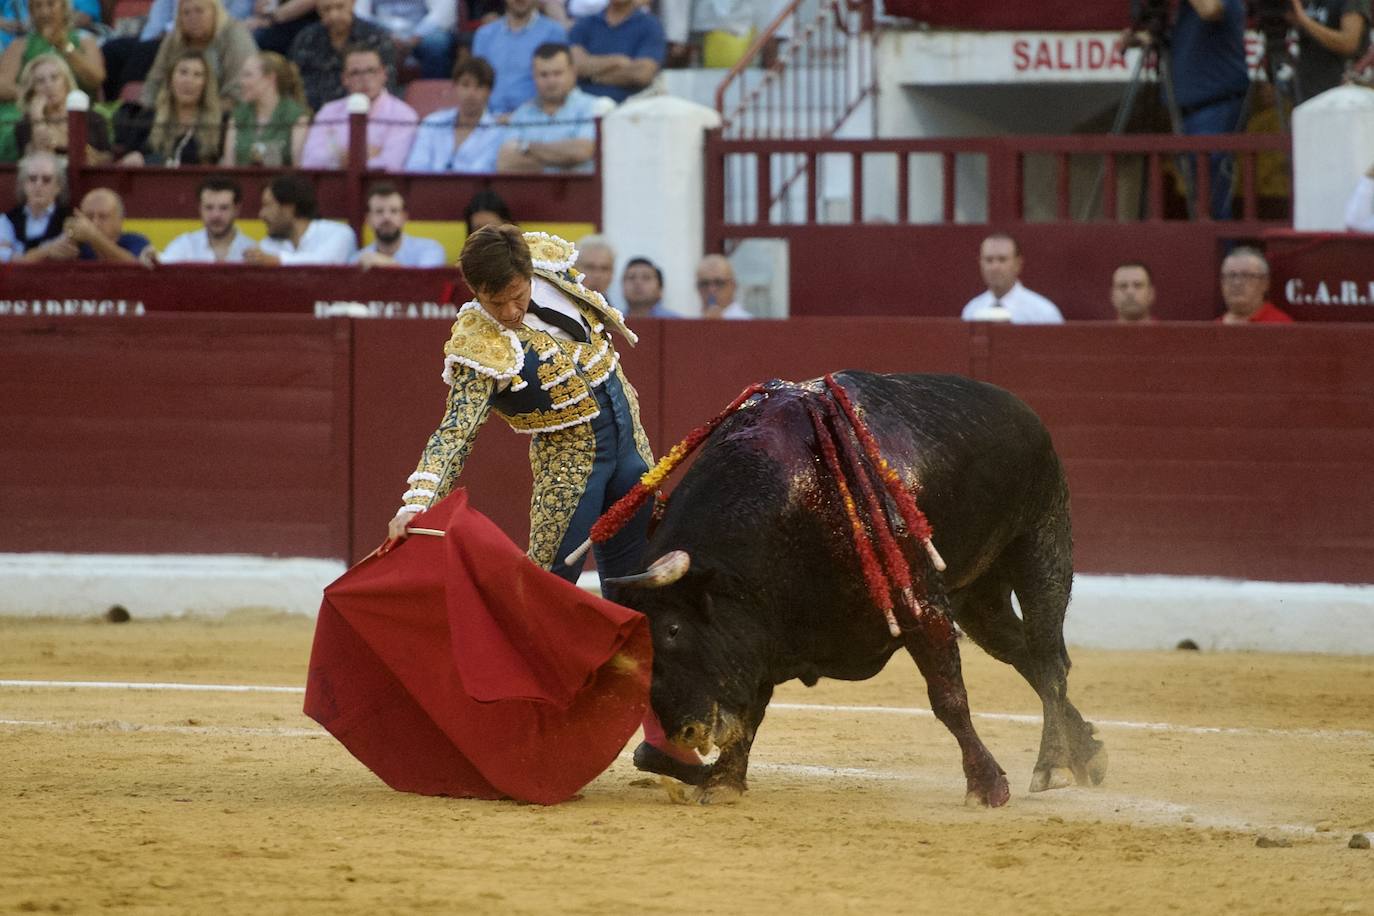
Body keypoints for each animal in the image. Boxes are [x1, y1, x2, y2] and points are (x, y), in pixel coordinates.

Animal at [610, 368, 1104, 807]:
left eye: (673, 629)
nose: (679, 735)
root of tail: (1021, 408)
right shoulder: (763, 629)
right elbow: (753, 709)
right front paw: (723, 782)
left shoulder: (920, 605)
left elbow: (948, 698)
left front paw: (986, 787)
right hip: (979, 598)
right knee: (1024, 655)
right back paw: (1085, 753)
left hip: (1043, 543)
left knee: (1048, 658)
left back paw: (1052, 764)